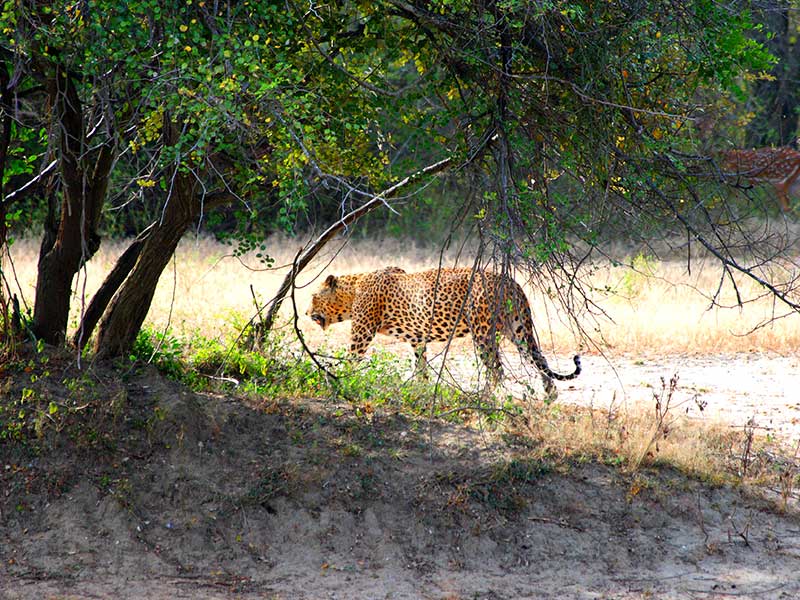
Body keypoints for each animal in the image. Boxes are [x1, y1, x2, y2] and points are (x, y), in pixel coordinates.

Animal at [306, 266, 581, 394]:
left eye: (313, 297)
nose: (307, 314)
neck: (352, 290)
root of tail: (511, 282)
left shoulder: (362, 332)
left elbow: (351, 359)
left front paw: (339, 381)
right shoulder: (417, 338)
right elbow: (421, 365)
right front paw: (422, 388)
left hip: (483, 333)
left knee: (497, 370)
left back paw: (484, 397)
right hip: (517, 329)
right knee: (539, 359)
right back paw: (549, 395)